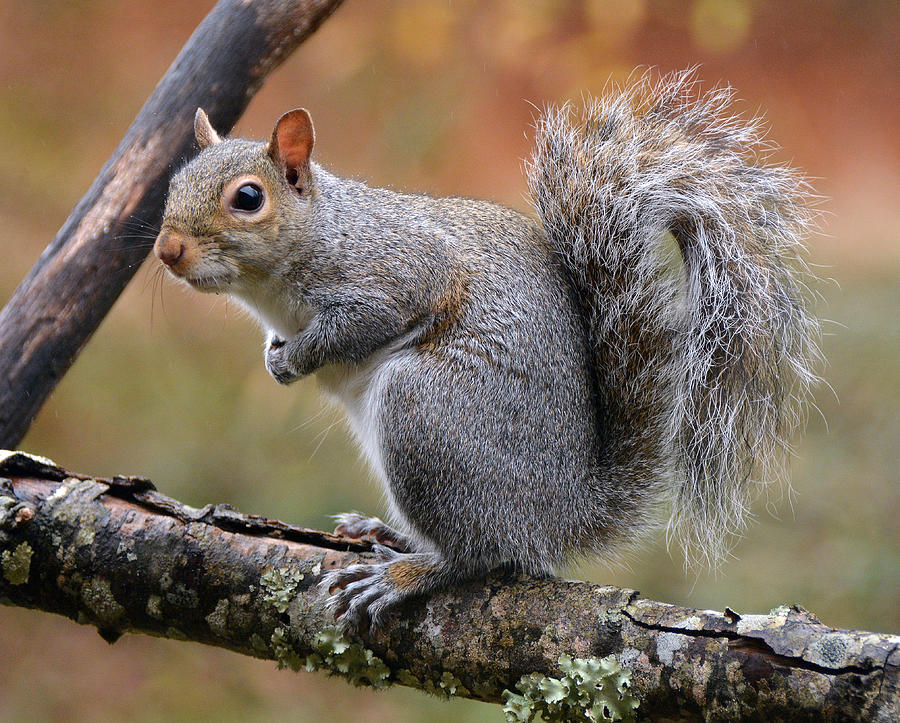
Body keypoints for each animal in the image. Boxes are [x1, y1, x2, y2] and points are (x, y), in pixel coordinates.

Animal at [156, 70, 824, 632]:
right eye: (174, 182)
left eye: (248, 199)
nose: (166, 251)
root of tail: (563, 512)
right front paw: (275, 356)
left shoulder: (396, 274)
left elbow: (358, 325)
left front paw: (295, 358)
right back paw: (390, 534)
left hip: (426, 413)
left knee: (480, 552)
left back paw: (408, 572)